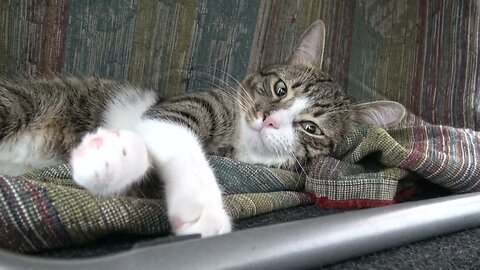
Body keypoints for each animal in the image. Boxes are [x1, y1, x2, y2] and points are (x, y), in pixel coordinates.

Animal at [0, 21, 404, 236]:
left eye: (311, 128)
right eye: (281, 89)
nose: (269, 119)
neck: (238, 141)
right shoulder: (184, 106)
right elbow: (178, 136)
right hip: (18, 105)